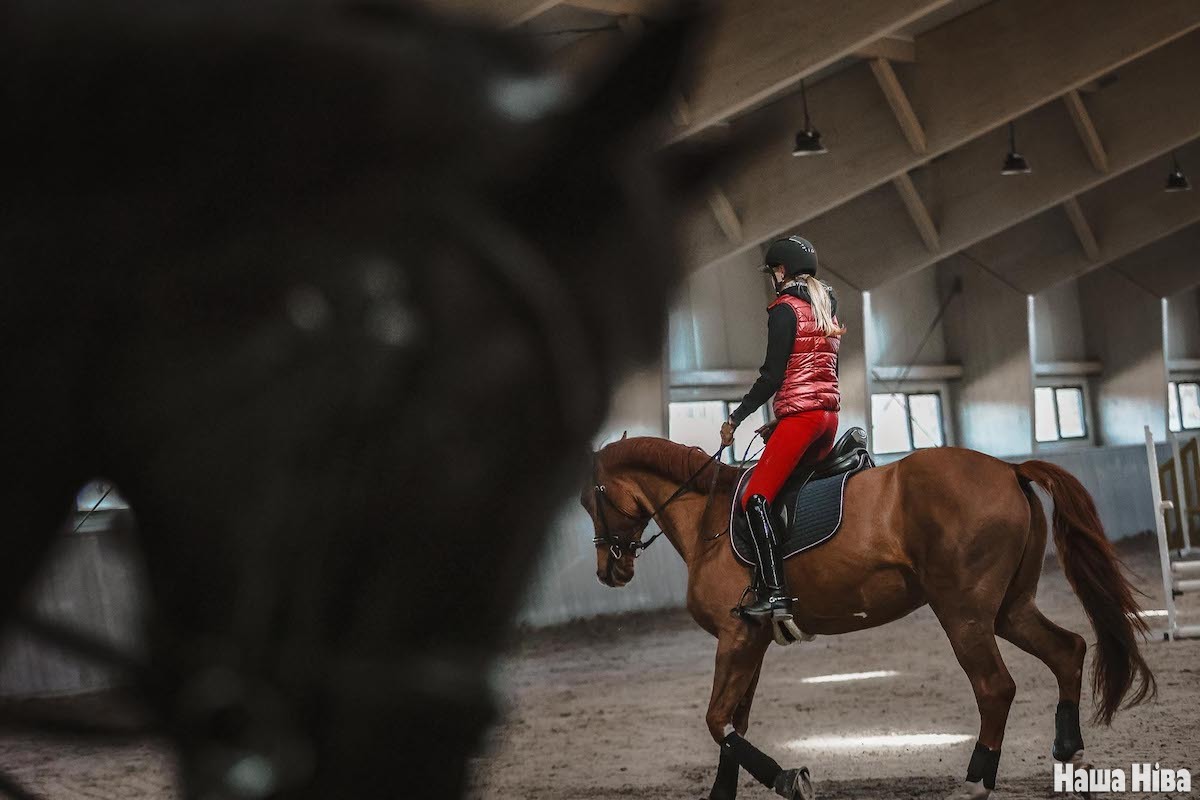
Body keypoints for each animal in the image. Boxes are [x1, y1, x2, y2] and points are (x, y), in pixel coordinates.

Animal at [580, 438, 1152, 800]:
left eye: (592, 500)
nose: (609, 570)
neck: (710, 519)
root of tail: (1008, 469)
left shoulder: (735, 636)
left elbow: (717, 720)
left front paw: (789, 780)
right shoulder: (751, 641)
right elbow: (733, 722)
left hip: (963, 613)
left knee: (995, 687)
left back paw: (976, 781)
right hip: (1011, 609)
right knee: (1067, 649)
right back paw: (1069, 754)